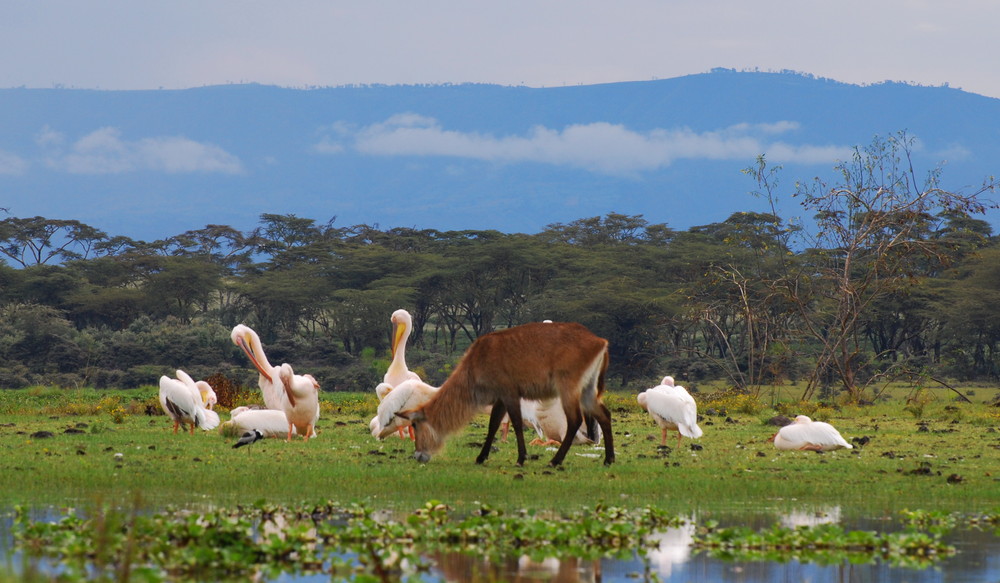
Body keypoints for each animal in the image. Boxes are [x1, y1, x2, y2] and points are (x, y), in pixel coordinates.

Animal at [394, 322, 612, 468]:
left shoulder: (509, 393)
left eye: (415, 424)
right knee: (604, 415)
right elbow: (493, 425)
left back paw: (555, 461)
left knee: (574, 420)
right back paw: (609, 460)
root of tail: (600, 341)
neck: (476, 361)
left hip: (568, 388)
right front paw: (481, 457)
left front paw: (521, 458)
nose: (418, 455)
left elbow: (515, 422)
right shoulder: (499, 397)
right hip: (587, 390)